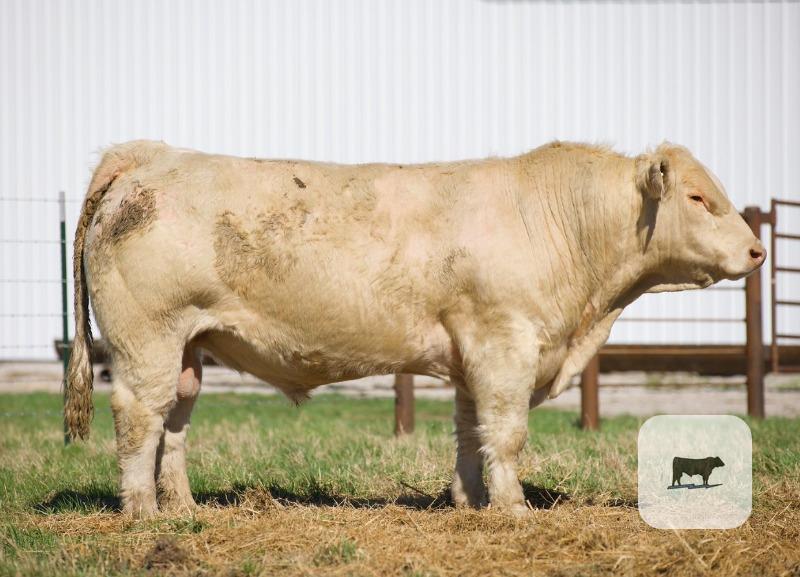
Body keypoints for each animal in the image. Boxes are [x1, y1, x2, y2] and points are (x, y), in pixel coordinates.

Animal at [64, 140, 765, 518]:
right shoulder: (505, 344)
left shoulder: (472, 354)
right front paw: (514, 508)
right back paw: (144, 512)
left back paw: (183, 506)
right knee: (139, 417)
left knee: (175, 422)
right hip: (148, 338)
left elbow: (469, 431)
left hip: (189, 347)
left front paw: (469, 500)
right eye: (698, 198)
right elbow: (506, 432)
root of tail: (149, 156)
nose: (758, 251)